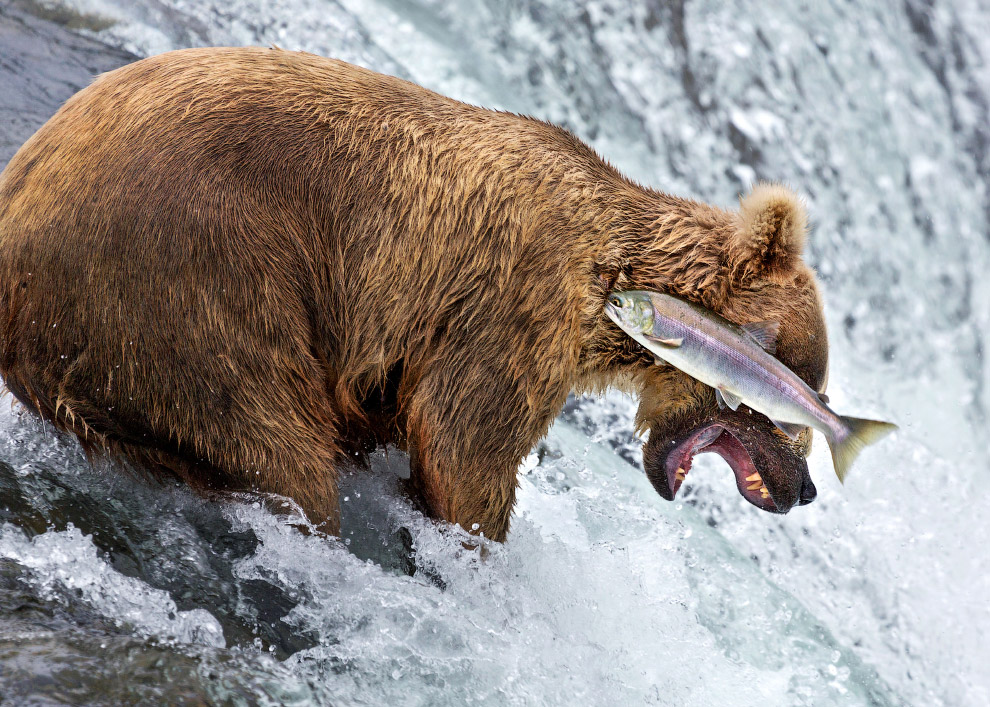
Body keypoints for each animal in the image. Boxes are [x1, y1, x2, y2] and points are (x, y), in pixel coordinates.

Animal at [0, 47, 828, 544]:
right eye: (801, 386)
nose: (806, 487)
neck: (614, 274)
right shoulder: (514, 298)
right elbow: (466, 443)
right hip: (193, 278)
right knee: (275, 442)